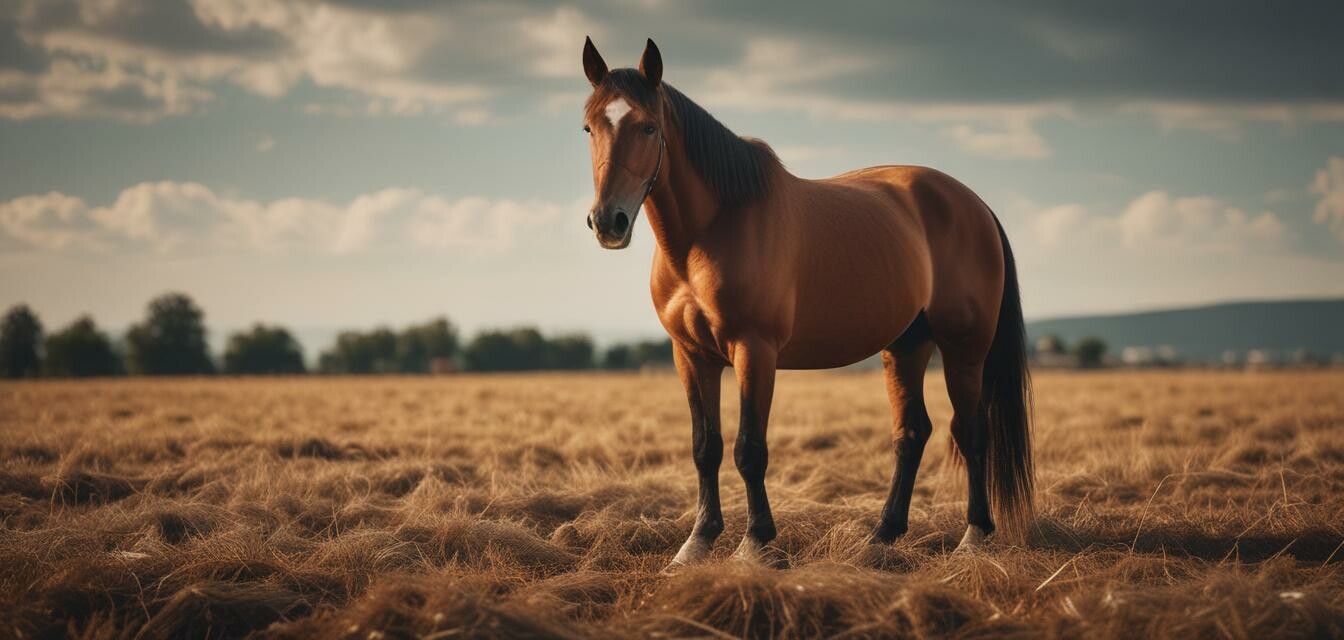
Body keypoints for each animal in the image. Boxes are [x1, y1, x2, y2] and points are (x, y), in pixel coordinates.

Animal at [583, 37, 1032, 567]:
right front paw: (697, 542)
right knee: (911, 433)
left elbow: (749, 448)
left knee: (970, 430)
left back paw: (974, 537)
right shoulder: (690, 355)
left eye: (648, 126)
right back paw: (880, 536)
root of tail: (974, 204)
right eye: (589, 126)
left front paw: (754, 543)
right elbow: (705, 446)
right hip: (906, 345)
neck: (710, 229)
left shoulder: (755, 350)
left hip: (964, 348)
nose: (608, 221)